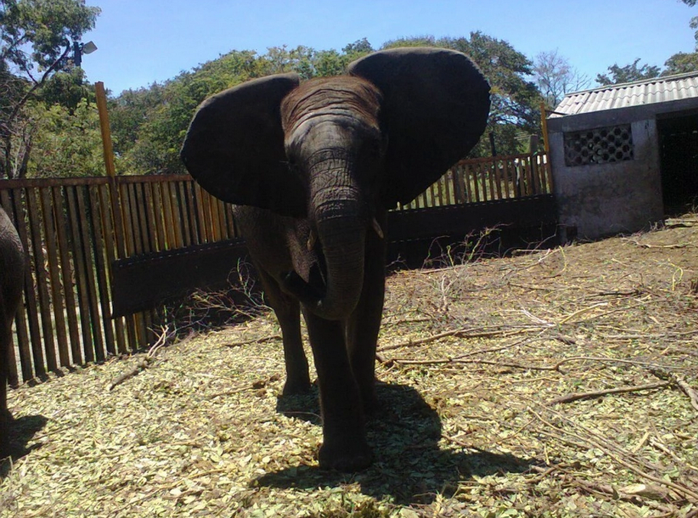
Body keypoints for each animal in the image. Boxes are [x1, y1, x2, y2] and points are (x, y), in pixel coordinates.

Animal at [181, 46, 490, 474]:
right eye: (291, 163)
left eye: (376, 149)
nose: (295, 275)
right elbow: (322, 306)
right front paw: (346, 462)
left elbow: (370, 290)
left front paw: (372, 412)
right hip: (250, 236)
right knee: (283, 307)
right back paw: (296, 390)